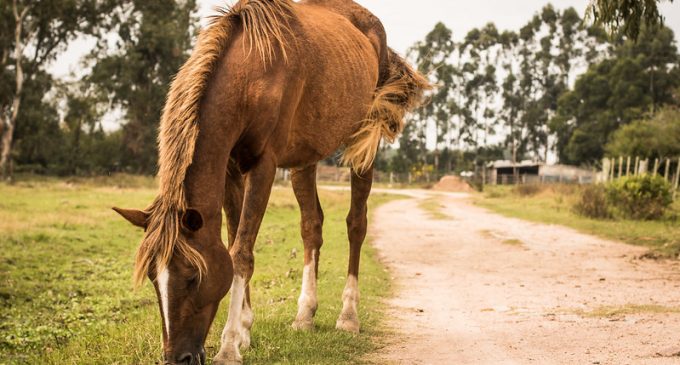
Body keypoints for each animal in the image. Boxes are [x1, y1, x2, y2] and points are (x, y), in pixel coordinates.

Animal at [114, 0, 428, 362]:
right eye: (153, 277)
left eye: (193, 276)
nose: (178, 358)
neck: (253, 73)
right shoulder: (230, 168)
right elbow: (235, 238)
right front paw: (245, 332)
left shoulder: (264, 166)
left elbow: (241, 253)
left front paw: (229, 346)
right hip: (305, 157)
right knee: (311, 226)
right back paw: (305, 314)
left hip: (364, 146)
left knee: (356, 225)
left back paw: (348, 316)